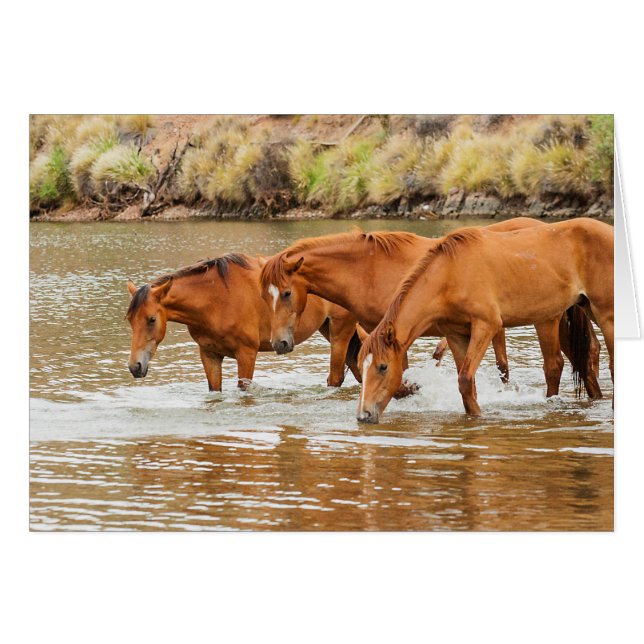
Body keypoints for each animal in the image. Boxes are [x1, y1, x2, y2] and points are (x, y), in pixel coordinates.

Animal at [125, 253, 362, 391]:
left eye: (151, 319)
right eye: (130, 321)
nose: (135, 366)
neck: (216, 299)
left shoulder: (246, 354)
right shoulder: (209, 355)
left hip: (340, 333)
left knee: (336, 378)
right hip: (328, 329)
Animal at [258, 217, 602, 400]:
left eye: (286, 293)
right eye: (265, 296)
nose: (280, 343)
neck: (369, 269)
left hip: (548, 319)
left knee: (555, 365)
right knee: (588, 356)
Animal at [357, 218, 614, 421]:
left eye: (383, 366)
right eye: (361, 367)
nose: (364, 415)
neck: (450, 273)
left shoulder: (486, 325)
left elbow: (465, 378)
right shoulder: (456, 334)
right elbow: (467, 384)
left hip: (602, 315)